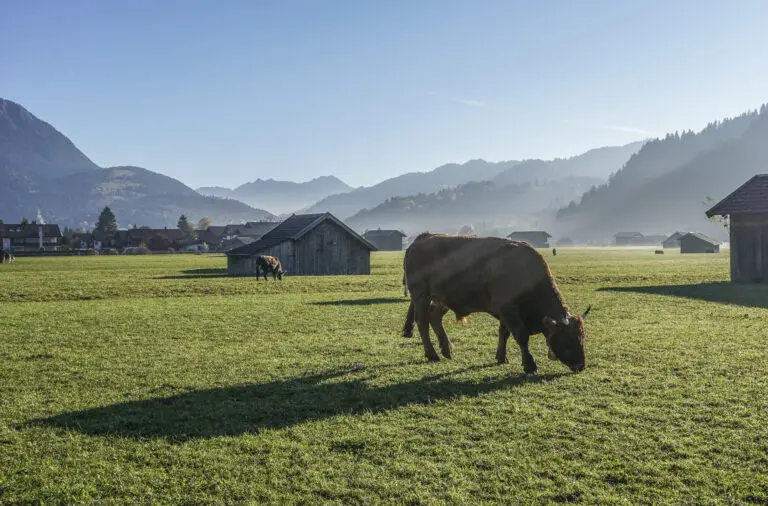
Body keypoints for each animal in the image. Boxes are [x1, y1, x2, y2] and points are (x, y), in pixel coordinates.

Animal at [400, 233, 592, 372]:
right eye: (568, 338)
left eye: (582, 337)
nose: (580, 366)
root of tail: (423, 238)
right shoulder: (508, 310)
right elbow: (521, 336)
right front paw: (529, 364)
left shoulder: (504, 312)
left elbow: (504, 333)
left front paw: (501, 357)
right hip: (421, 296)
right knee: (422, 322)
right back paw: (432, 354)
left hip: (441, 300)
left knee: (434, 318)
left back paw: (447, 350)